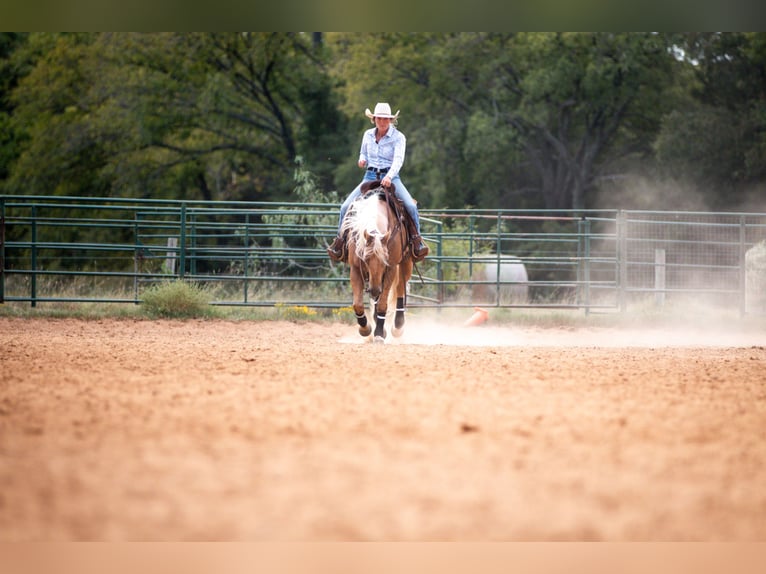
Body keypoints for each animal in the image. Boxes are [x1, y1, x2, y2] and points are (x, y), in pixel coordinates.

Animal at [344, 181, 414, 342]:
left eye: (385, 261)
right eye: (365, 258)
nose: (375, 289)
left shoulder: (391, 268)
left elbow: (382, 304)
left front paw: (379, 334)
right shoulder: (355, 269)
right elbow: (358, 304)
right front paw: (365, 329)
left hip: (406, 262)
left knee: (400, 288)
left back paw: (397, 326)